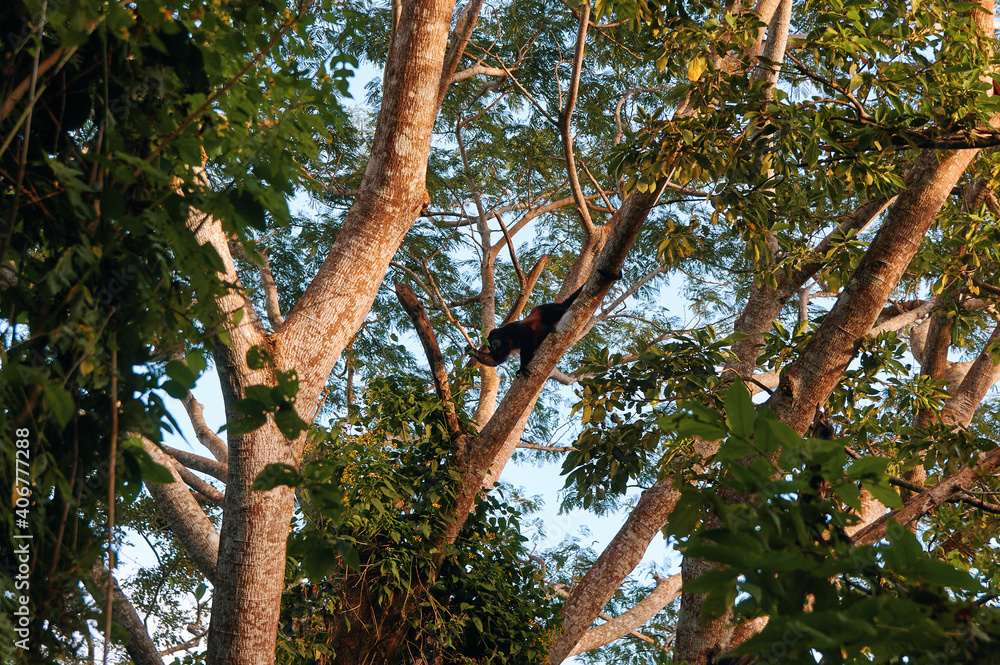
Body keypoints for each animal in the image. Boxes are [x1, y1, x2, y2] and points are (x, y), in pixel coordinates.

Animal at [467, 270, 621, 377]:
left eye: (493, 338)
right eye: (490, 342)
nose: (493, 344)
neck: (505, 336)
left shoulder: (512, 328)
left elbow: (529, 334)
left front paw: (522, 366)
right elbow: (498, 359)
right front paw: (473, 351)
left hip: (548, 309)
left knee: (556, 312)